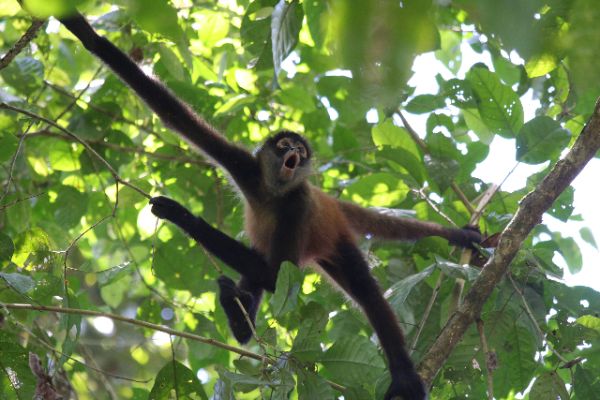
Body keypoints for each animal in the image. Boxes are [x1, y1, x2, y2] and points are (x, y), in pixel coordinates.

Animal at [56, 10, 478, 398]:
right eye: (285, 145)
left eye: (301, 151)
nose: (295, 152)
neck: (274, 193)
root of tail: (332, 205)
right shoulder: (245, 166)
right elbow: (170, 111)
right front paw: (87, 34)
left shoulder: (298, 203)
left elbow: (277, 275)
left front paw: (182, 216)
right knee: (256, 272)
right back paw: (240, 320)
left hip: (334, 242)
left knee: (363, 293)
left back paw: (404, 376)